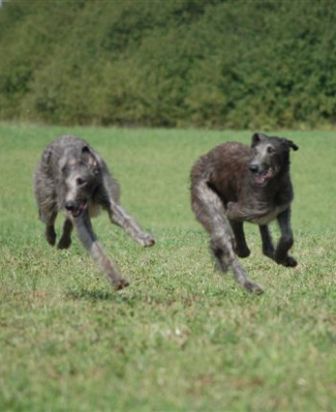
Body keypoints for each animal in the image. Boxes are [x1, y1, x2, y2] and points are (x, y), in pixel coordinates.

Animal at [34, 135, 155, 290]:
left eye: (81, 181)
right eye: (65, 184)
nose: (69, 205)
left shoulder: (108, 198)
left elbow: (125, 219)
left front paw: (143, 237)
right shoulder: (78, 213)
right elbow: (96, 248)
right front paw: (116, 279)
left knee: (67, 221)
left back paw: (64, 241)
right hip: (46, 191)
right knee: (49, 216)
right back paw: (51, 237)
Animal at [190, 132, 298, 292]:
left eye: (271, 150)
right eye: (255, 151)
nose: (253, 168)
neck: (273, 187)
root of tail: (203, 158)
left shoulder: (282, 209)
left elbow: (287, 237)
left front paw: (281, 257)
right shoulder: (234, 211)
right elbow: (240, 250)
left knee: (264, 246)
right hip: (207, 199)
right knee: (225, 242)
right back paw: (249, 285)